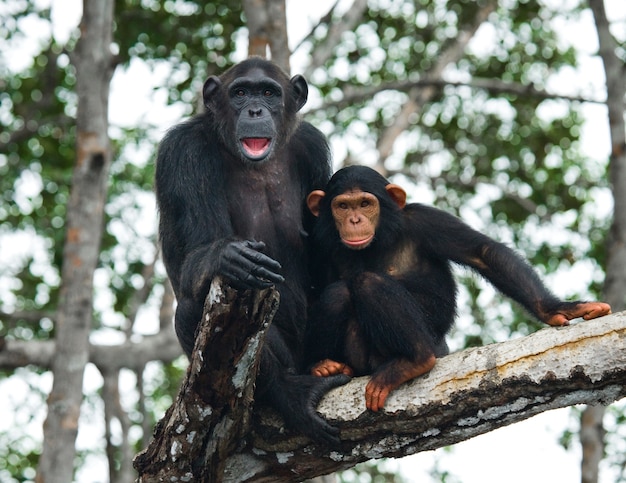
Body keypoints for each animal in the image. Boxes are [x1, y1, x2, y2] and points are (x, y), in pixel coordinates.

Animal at [155, 57, 348, 446]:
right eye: (241, 92)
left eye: (269, 93)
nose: (255, 110)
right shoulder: (182, 153)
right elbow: (197, 253)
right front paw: (229, 257)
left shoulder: (312, 148)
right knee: (190, 308)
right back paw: (291, 392)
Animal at [304, 165, 612, 412]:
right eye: (343, 206)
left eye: (365, 203)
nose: (355, 220)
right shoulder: (321, 246)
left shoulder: (427, 221)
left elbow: (483, 252)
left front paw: (555, 308)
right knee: (337, 294)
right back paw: (328, 366)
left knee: (368, 283)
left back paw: (415, 360)